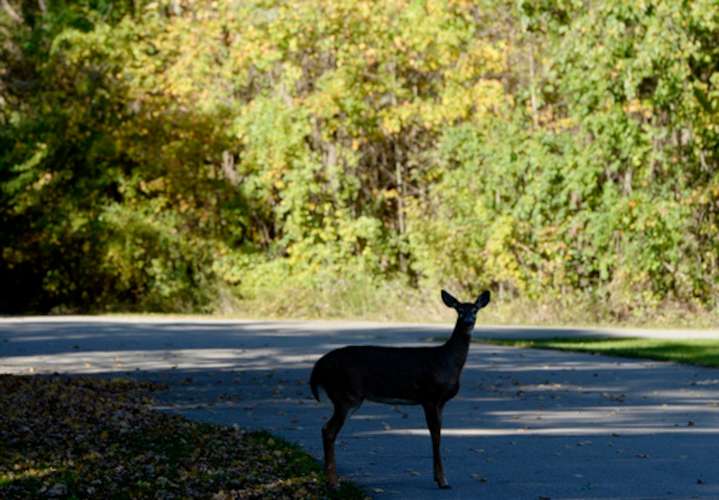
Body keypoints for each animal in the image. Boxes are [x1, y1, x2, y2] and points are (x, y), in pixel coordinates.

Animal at [309, 289, 491, 489]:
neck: (448, 361)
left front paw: (439, 478)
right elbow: (435, 434)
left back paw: (330, 480)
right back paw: (333, 483)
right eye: (459, 310)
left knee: (326, 429)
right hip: (346, 395)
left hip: (343, 396)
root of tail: (318, 367)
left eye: (475, 309)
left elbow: (438, 433)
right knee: (328, 430)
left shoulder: (440, 402)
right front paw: (442, 480)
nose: (468, 322)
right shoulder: (429, 396)